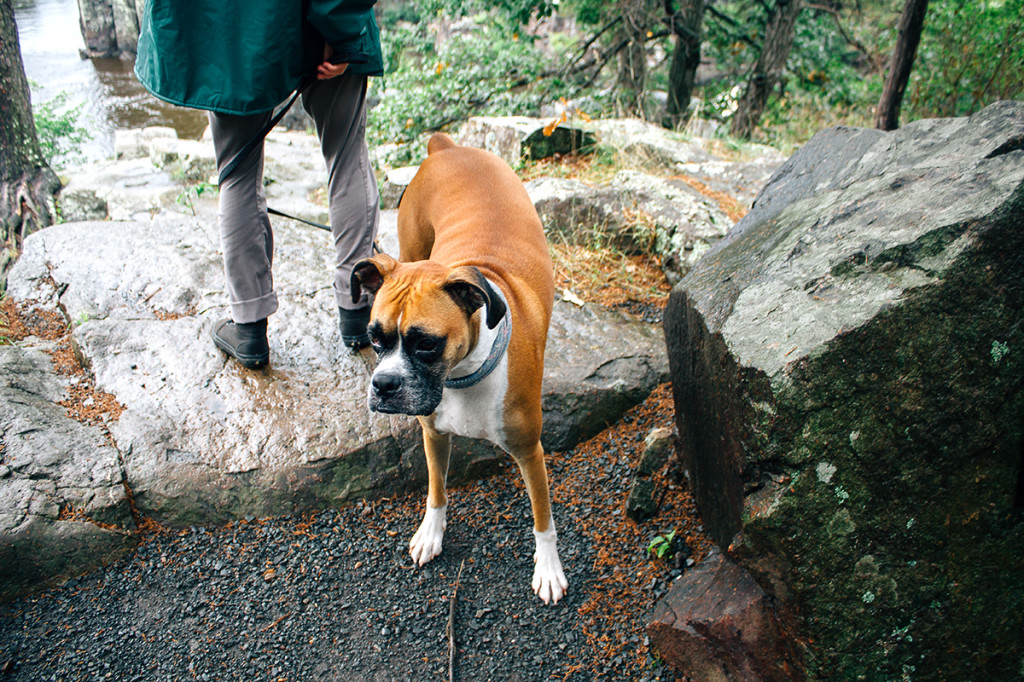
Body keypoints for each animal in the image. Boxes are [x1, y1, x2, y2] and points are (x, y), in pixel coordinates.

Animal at [352, 131, 569, 602]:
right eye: (375, 338)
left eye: (426, 345)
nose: (385, 384)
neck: (463, 375)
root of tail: (447, 147)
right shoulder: (433, 434)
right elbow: (436, 490)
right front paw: (431, 534)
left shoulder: (530, 451)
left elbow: (543, 519)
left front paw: (548, 569)